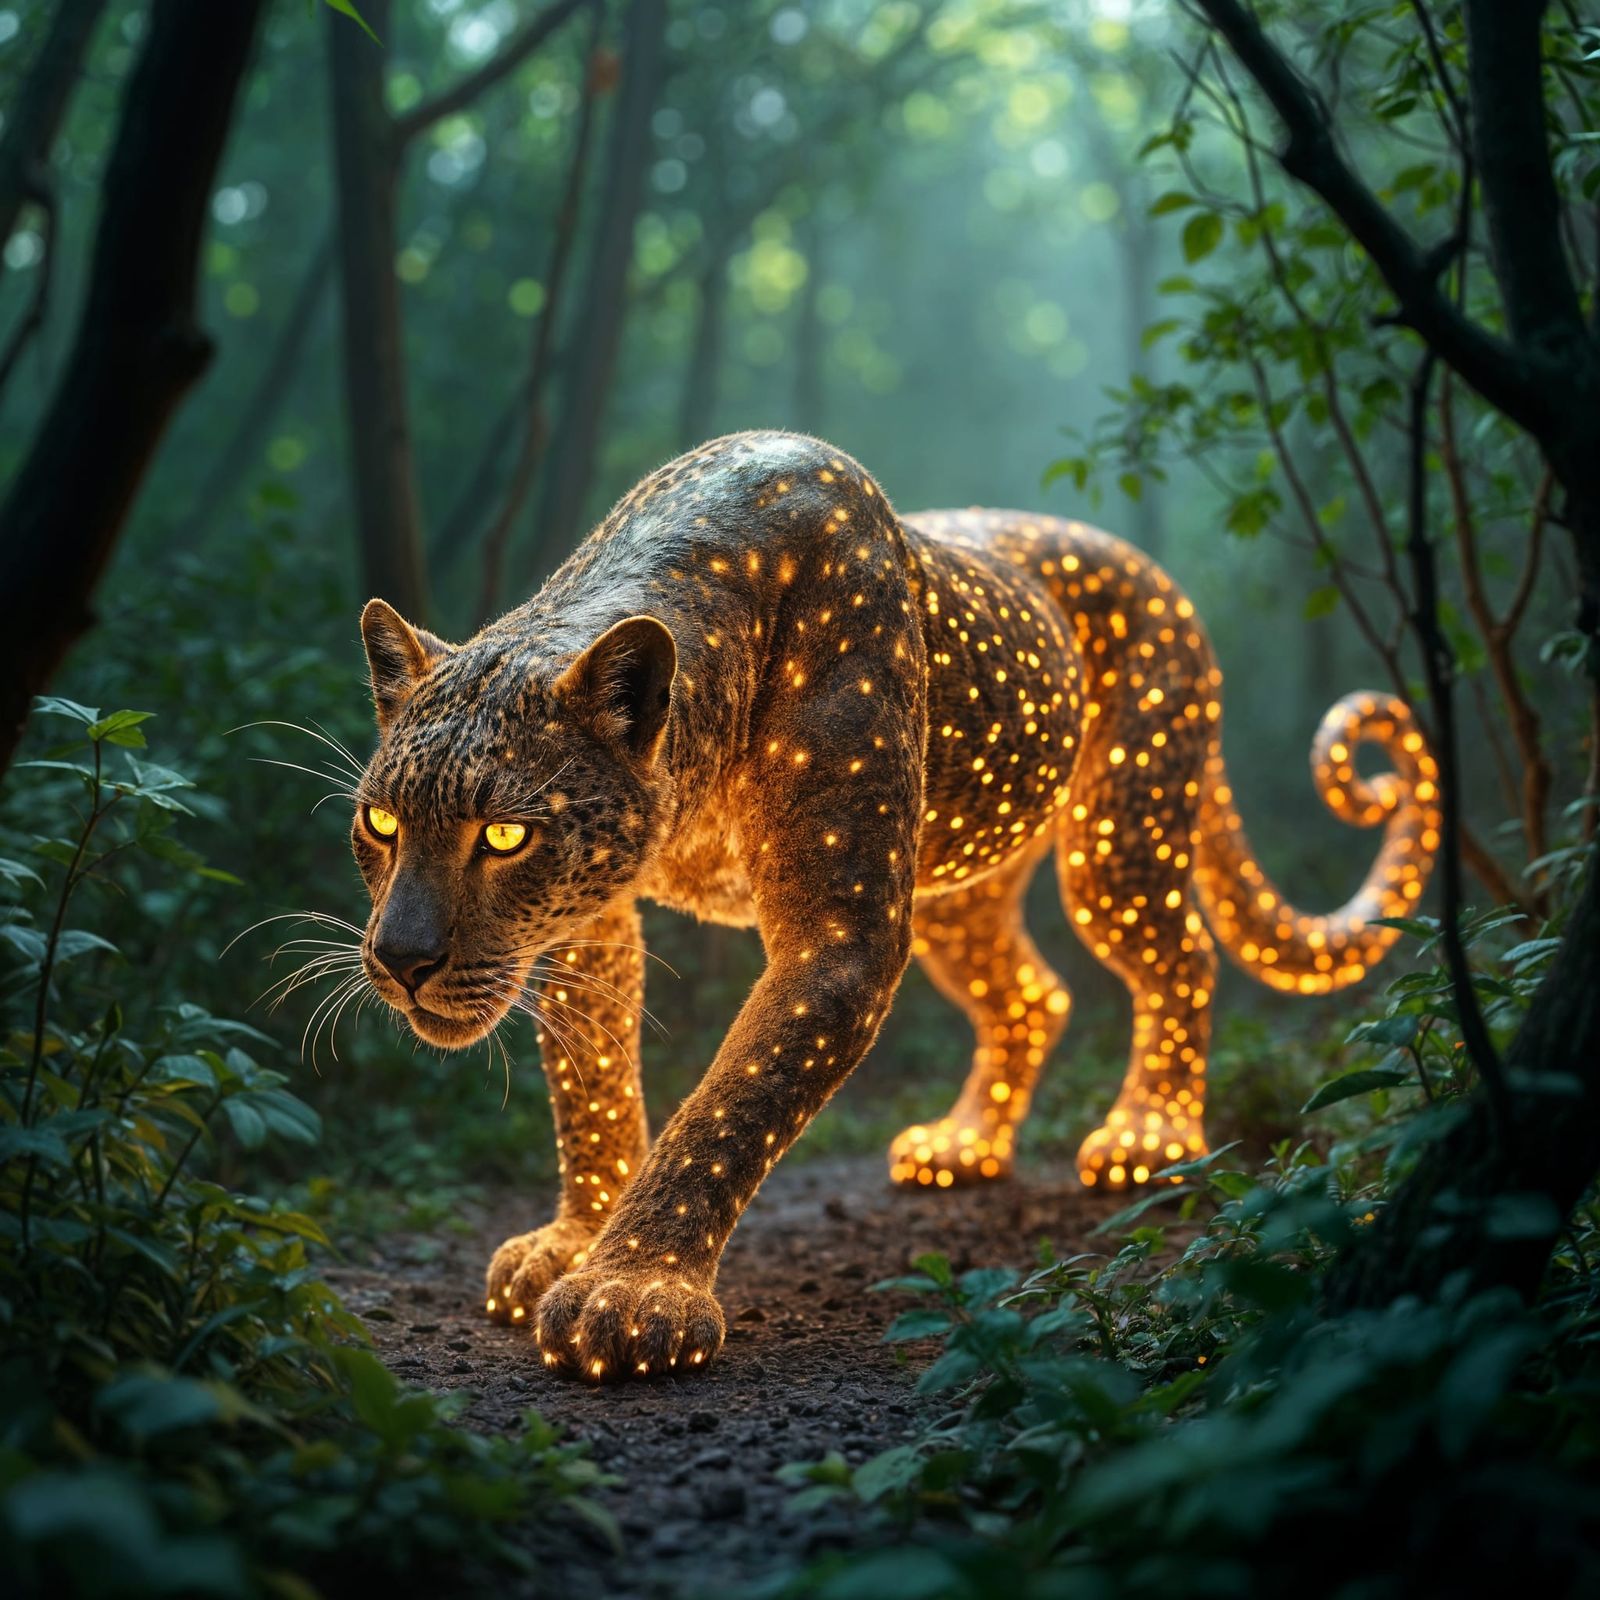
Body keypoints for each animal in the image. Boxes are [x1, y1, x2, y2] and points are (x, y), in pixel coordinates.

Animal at [348, 429, 1438, 1382]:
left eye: (503, 836)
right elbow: (594, 1087)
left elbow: (730, 1105)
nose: (402, 959)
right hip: (960, 886)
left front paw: (630, 1292)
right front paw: (575, 1239)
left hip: (1118, 838)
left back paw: (1147, 1138)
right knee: (1031, 996)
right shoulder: (591, 927)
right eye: (382, 823)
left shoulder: (840, 935)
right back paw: (963, 1148)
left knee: (1179, 959)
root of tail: (1154, 574)